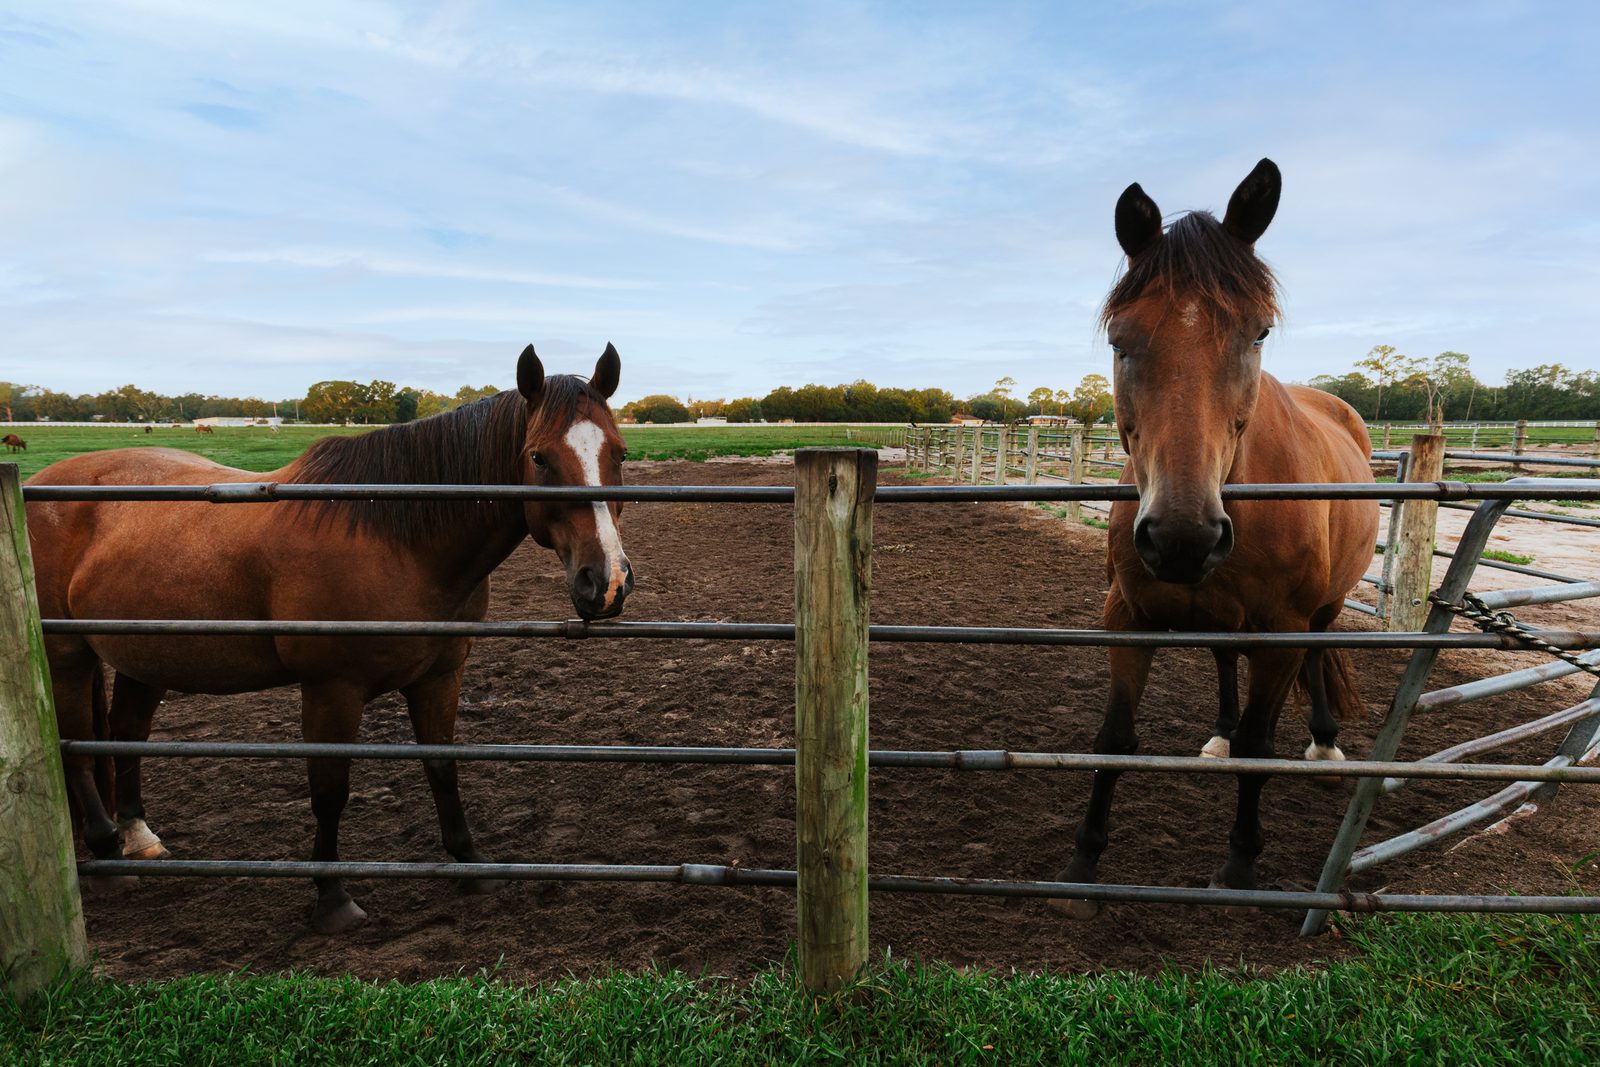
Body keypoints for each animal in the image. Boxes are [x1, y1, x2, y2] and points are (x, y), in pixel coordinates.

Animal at [27, 343, 634, 933]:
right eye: (539, 457)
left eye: (620, 453)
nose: (606, 582)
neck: (397, 540)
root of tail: (37, 485)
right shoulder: (332, 690)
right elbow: (329, 792)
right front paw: (332, 897)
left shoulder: (440, 676)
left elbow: (442, 767)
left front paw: (470, 865)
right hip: (67, 657)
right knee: (75, 747)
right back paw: (107, 855)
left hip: (146, 656)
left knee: (126, 732)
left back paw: (138, 838)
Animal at [1055, 160, 1379, 914]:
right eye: (1119, 340)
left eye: (1257, 334)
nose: (1183, 537)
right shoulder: (1128, 616)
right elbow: (1114, 738)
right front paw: (1084, 864)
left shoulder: (1281, 630)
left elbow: (1263, 743)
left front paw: (1239, 864)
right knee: (1225, 656)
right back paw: (1221, 735)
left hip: (1320, 611)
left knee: (1316, 656)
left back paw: (1324, 746)